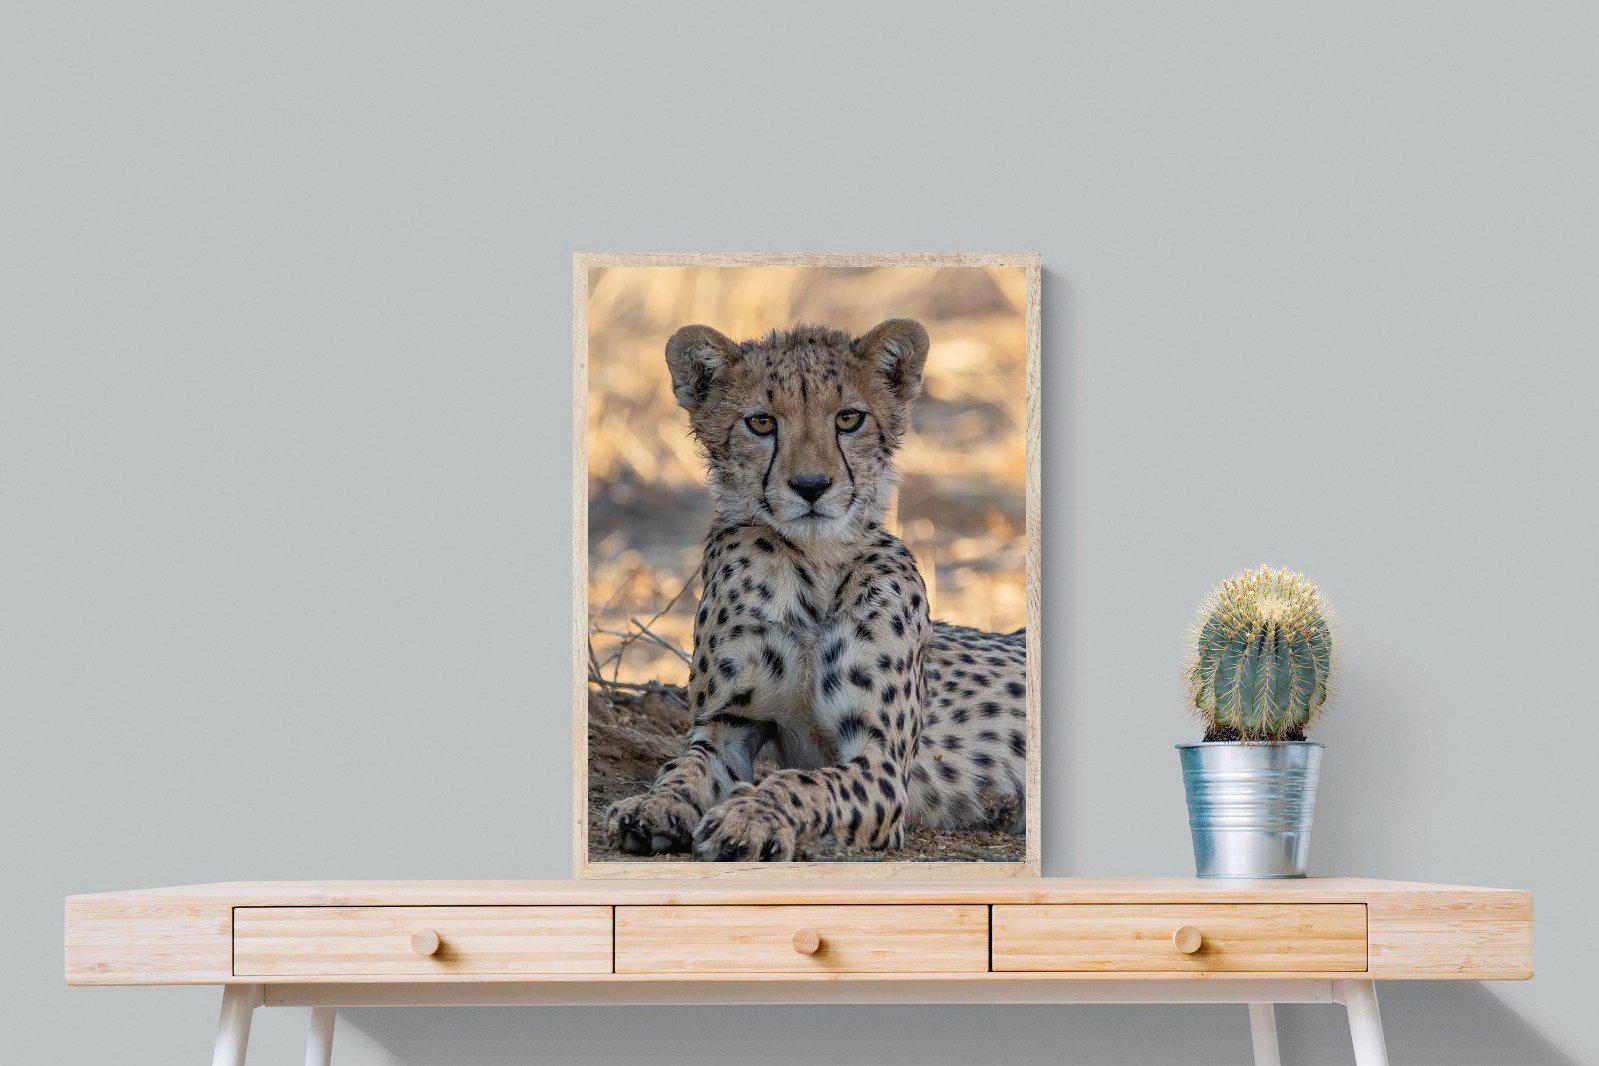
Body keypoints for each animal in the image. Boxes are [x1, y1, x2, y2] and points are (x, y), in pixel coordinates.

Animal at [603, 319, 1028, 862]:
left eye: (848, 418)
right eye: (761, 423)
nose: (810, 486)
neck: (814, 567)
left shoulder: (881, 762)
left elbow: (803, 783)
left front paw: (750, 816)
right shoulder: (727, 724)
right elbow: (685, 767)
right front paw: (654, 805)